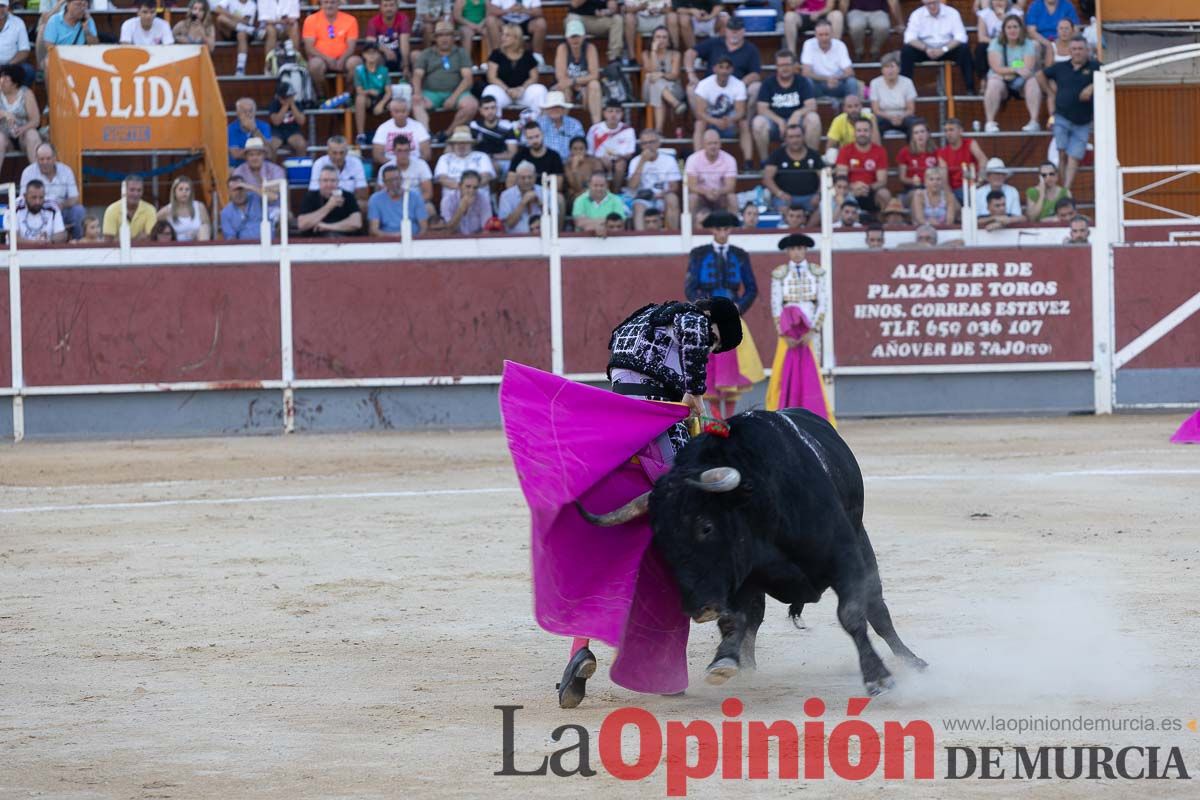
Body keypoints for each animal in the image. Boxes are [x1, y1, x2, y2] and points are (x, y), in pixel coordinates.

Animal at [580, 407, 926, 695]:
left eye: (706, 527)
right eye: (660, 539)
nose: (700, 608)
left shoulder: (844, 556)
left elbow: (853, 613)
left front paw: (877, 677)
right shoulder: (739, 577)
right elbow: (736, 619)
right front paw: (724, 660)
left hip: (861, 539)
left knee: (877, 607)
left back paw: (914, 662)